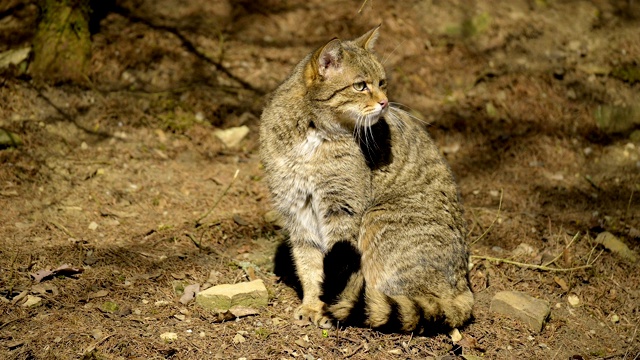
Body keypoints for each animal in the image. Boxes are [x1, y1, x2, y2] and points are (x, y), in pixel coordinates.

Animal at [258, 26, 472, 334]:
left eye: (382, 82)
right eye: (361, 86)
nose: (384, 102)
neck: (313, 134)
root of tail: (463, 289)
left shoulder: (342, 209)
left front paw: (325, 307)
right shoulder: (296, 209)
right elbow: (309, 264)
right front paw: (312, 304)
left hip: (377, 217)